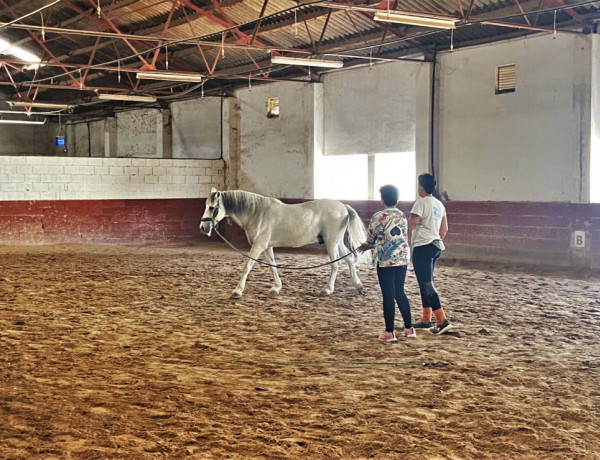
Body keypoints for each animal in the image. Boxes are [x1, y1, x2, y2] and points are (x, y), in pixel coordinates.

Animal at [200, 187, 366, 298]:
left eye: (212, 208)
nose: (203, 227)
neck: (257, 213)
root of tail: (344, 207)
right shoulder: (267, 246)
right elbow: (272, 265)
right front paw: (276, 288)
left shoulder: (258, 246)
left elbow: (247, 266)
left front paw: (237, 291)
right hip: (337, 242)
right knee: (349, 259)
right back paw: (358, 286)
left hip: (331, 242)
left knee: (335, 264)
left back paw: (327, 289)